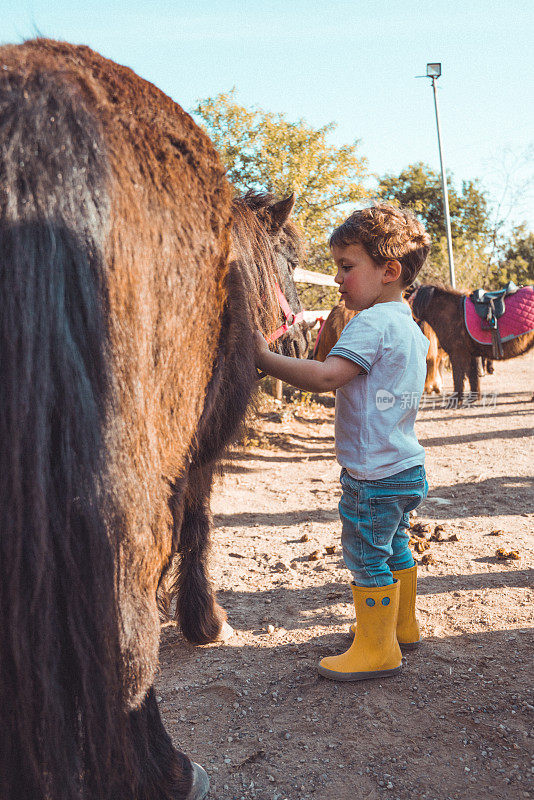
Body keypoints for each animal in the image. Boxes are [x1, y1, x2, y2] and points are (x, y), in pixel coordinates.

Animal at [0, 37, 308, 800]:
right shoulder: (196, 448)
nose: (302, 340)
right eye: (292, 260)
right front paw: (204, 620)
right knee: (125, 618)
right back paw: (164, 769)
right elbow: (195, 525)